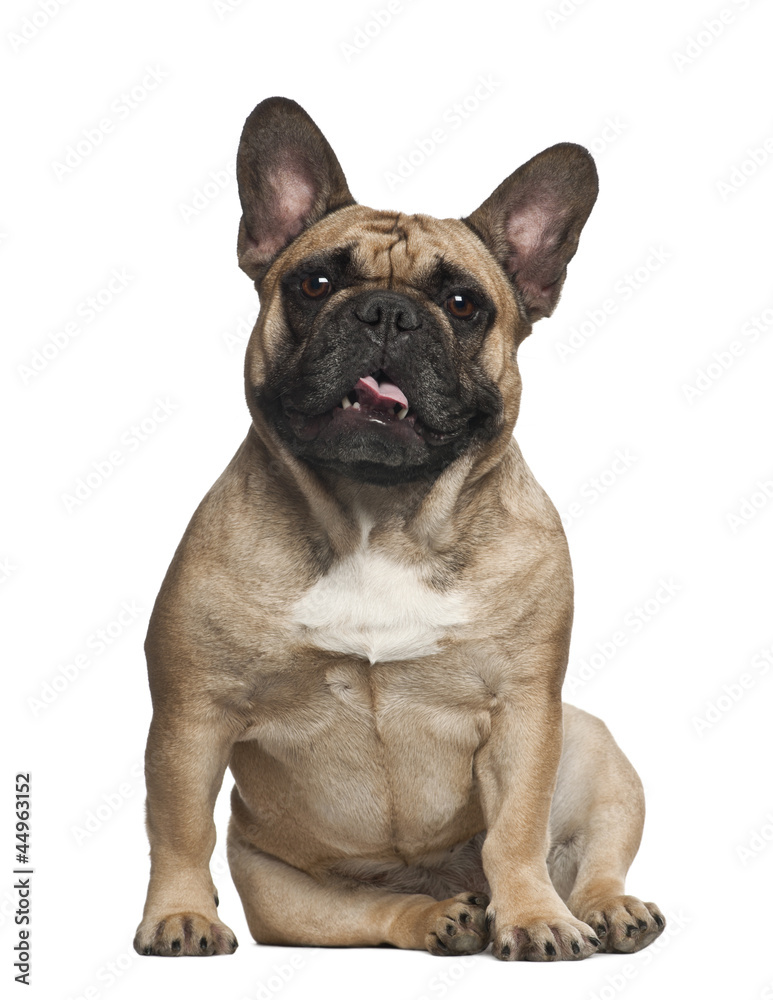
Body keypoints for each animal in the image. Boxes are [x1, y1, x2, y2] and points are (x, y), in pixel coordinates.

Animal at [133, 95, 664, 960]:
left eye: (462, 304)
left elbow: (516, 828)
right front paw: (180, 913)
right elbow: (179, 824)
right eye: (315, 282)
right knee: (373, 913)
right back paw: (444, 915)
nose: (385, 313)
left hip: (592, 747)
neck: (380, 519)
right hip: (282, 894)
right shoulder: (191, 712)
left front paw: (533, 916)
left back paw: (600, 907)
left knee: (593, 854)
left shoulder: (525, 712)